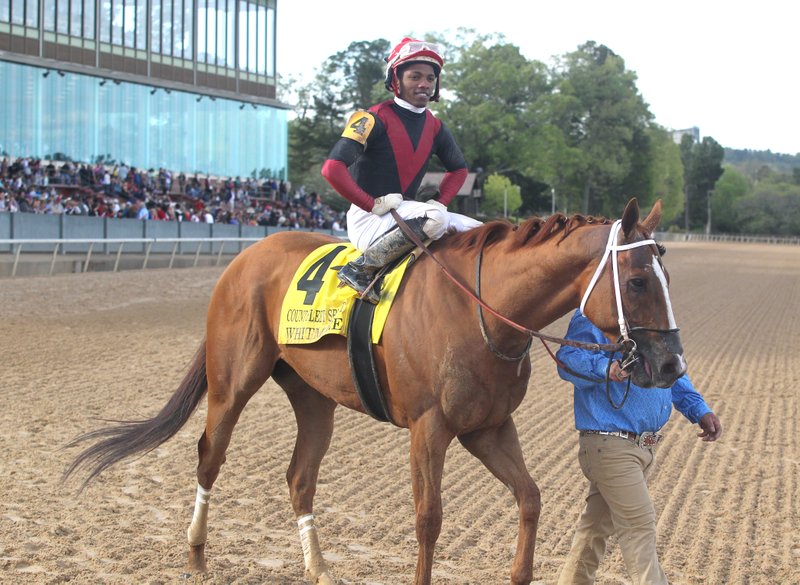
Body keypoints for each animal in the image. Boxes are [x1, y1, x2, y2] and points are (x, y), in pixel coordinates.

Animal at [64, 198, 688, 580]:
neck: (483, 309)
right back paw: (195, 556)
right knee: (209, 456)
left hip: (313, 396)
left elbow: (530, 497)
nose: (670, 365)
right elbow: (429, 517)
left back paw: (317, 568)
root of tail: (246, 256)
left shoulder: (488, 427)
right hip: (232, 382)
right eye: (637, 281)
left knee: (300, 477)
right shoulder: (429, 428)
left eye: (667, 276)